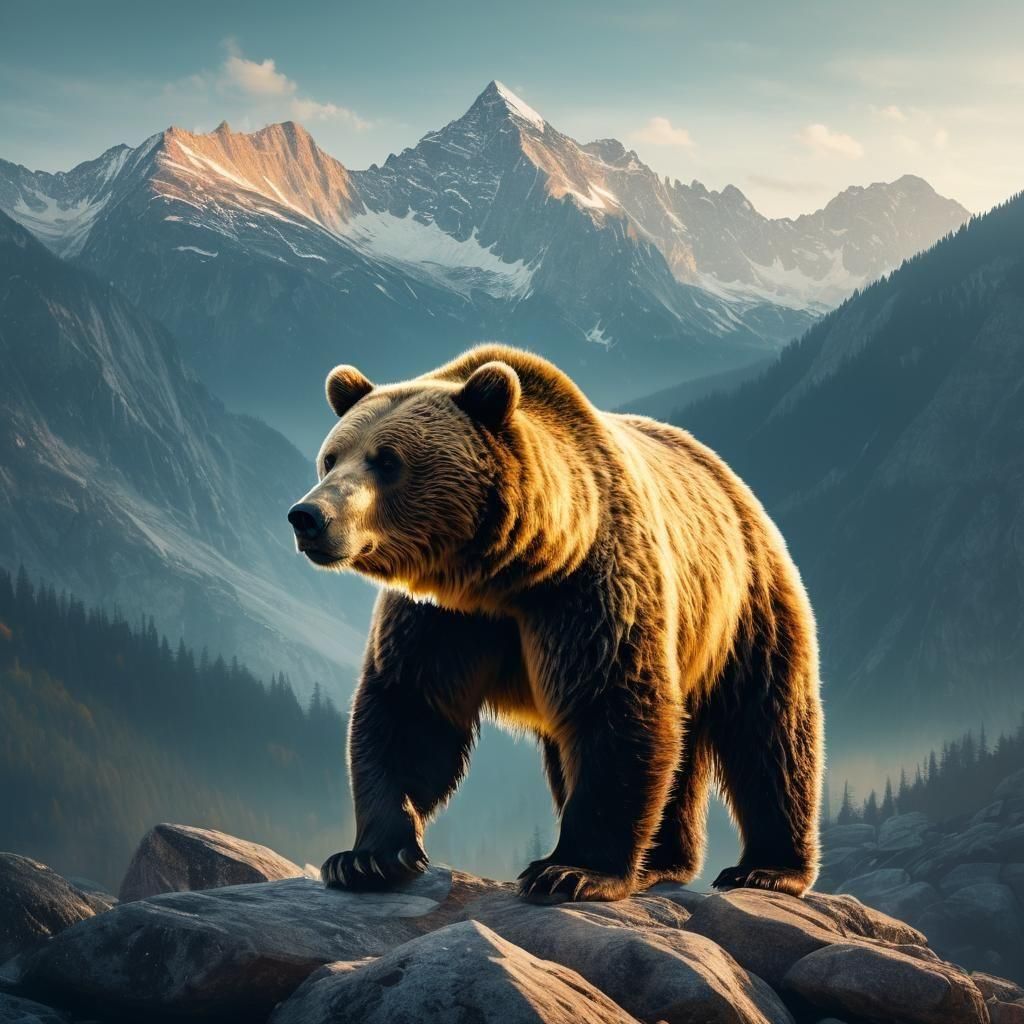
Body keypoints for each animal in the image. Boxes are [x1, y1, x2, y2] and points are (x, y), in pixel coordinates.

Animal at [288, 344, 823, 902]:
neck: (504, 573)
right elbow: (410, 710)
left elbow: (615, 708)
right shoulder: (440, 618)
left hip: (745, 606)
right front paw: (366, 859)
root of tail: (729, 480)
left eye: (387, 460)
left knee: (770, 732)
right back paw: (664, 862)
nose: (309, 516)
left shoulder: (587, 594)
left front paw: (570, 871)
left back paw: (766, 868)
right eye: (332, 457)